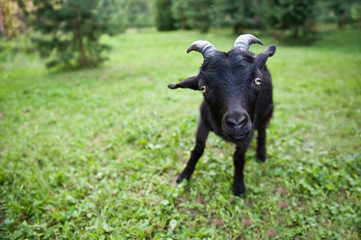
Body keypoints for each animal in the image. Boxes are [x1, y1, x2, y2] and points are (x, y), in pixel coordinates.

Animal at [167, 34, 274, 195]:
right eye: (203, 87)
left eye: (258, 80)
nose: (237, 123)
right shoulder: (203, 122)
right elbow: (198, 149)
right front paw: (184, 175)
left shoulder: (248, 132)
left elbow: (238, 157)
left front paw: (238, 186)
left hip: (267, 110)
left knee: (263, 130)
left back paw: (261, 155)